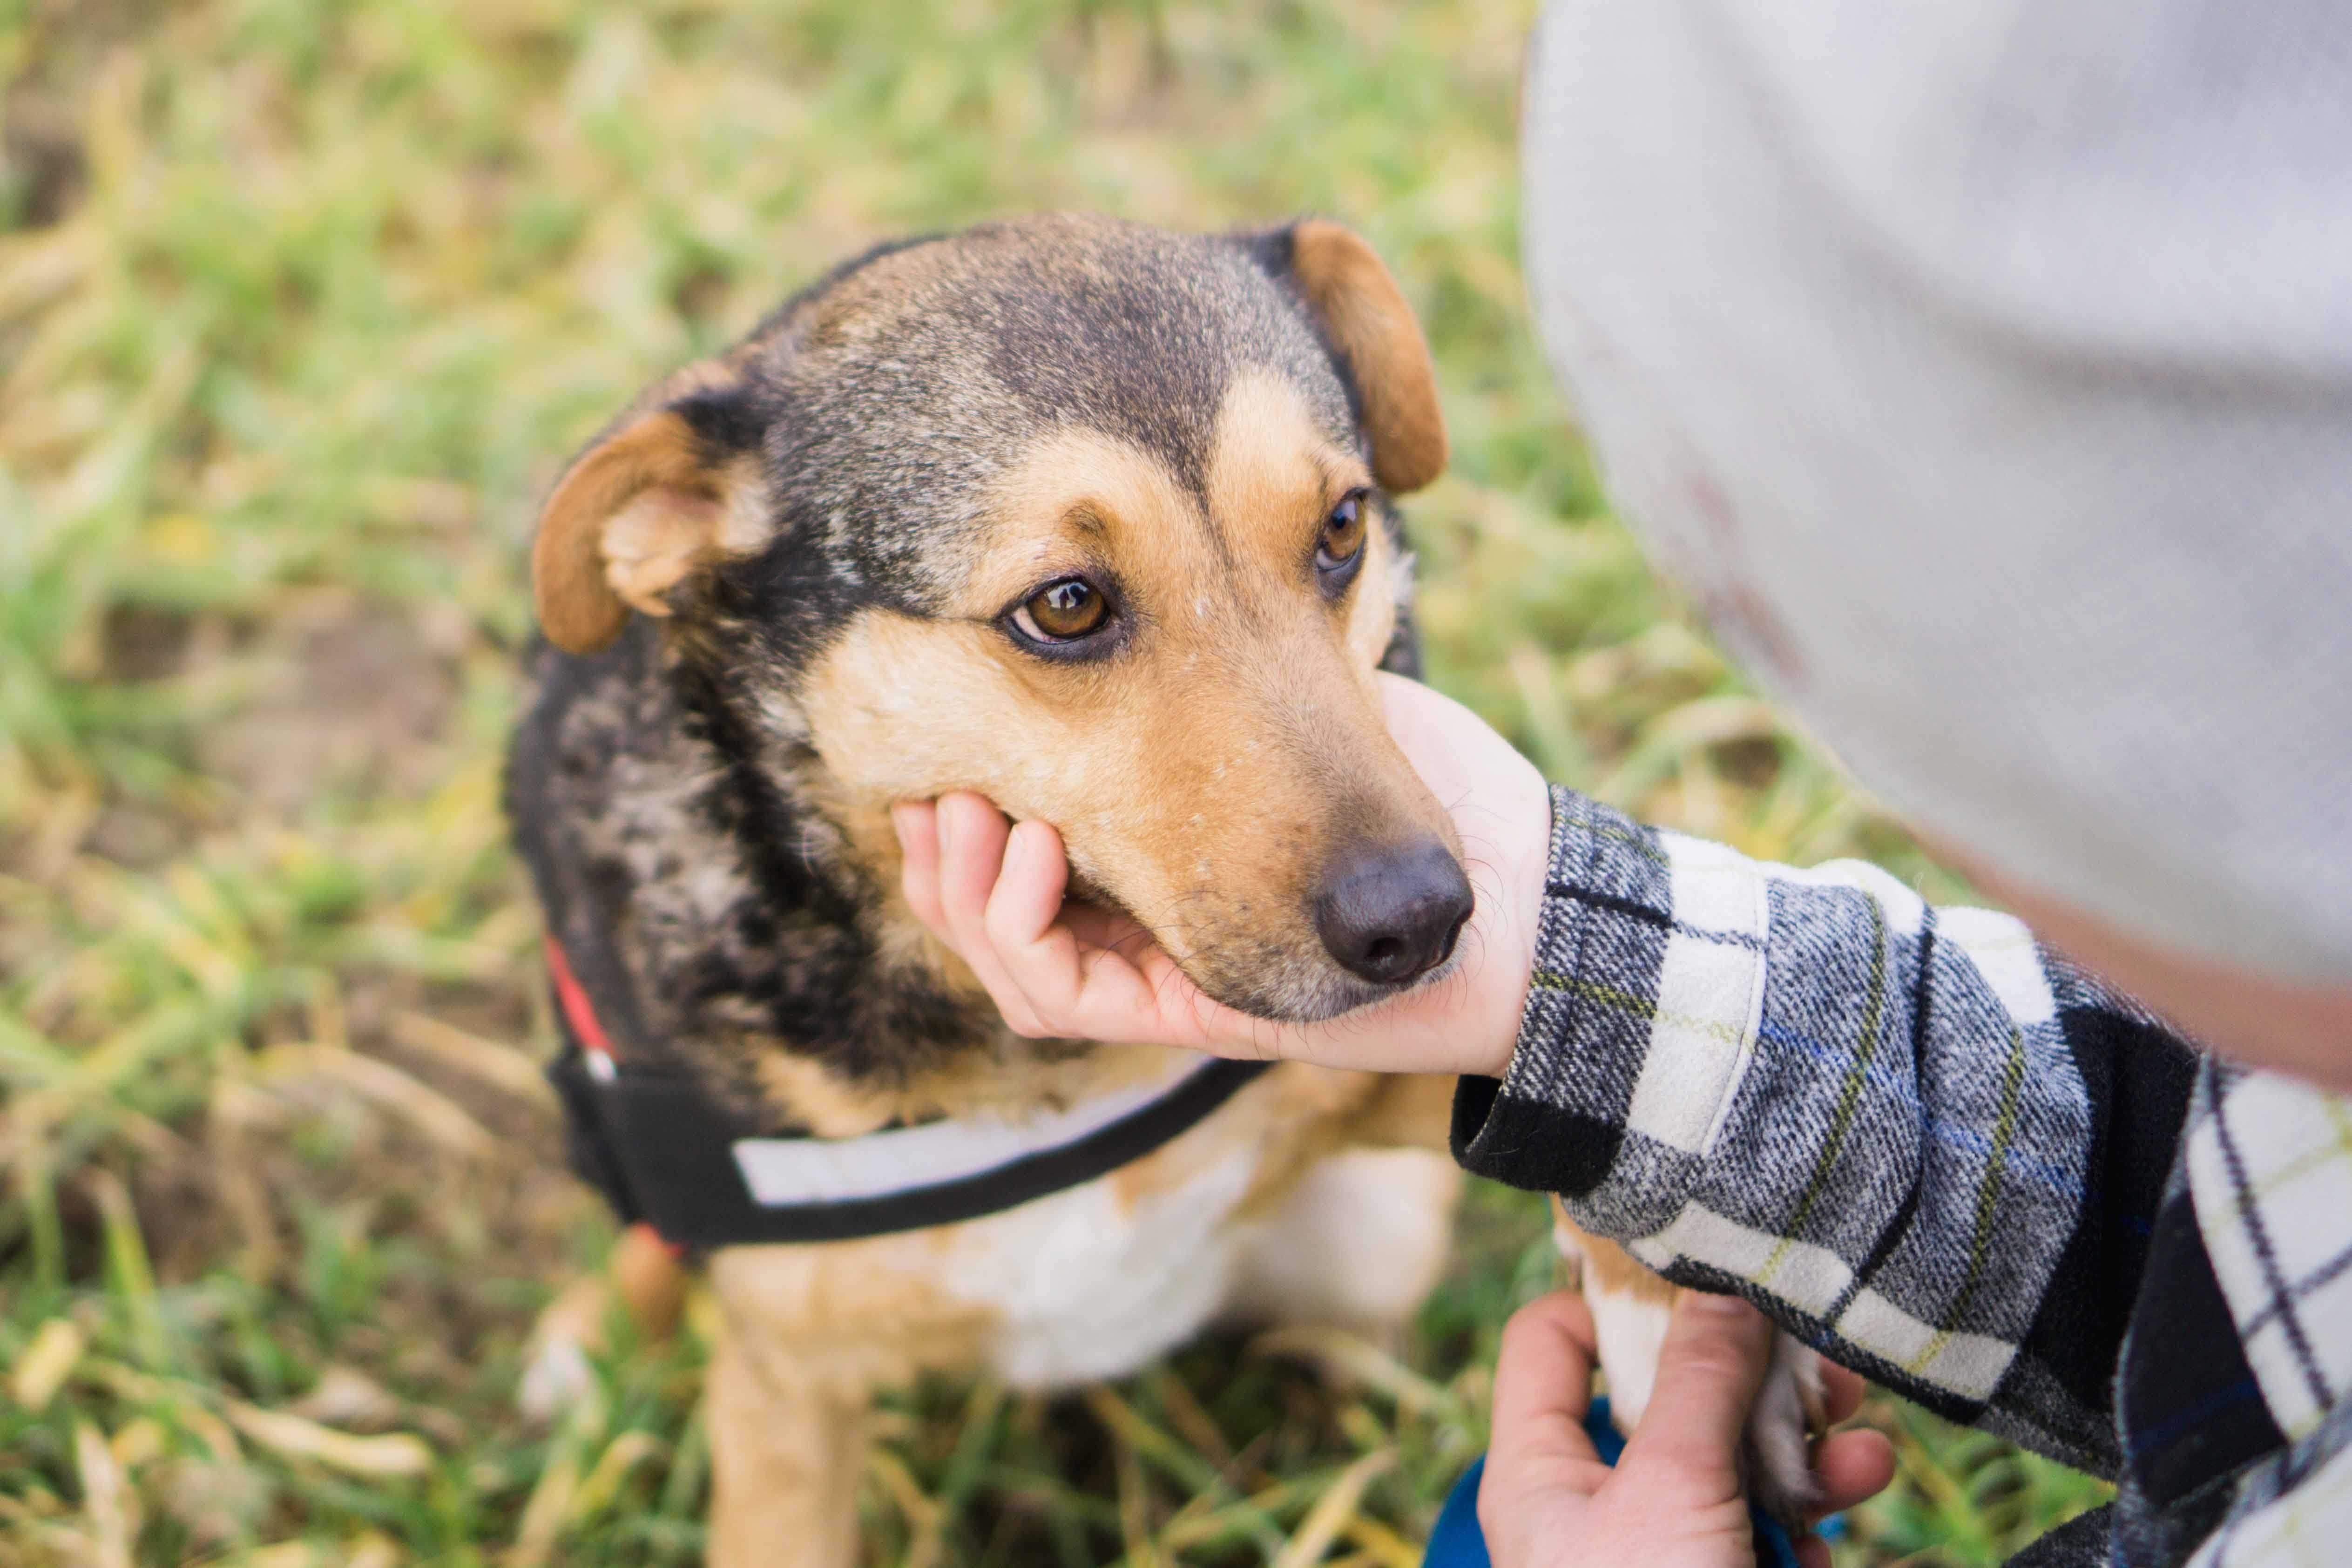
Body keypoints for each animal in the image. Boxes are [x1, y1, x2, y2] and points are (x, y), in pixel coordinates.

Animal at [506, 215, 1825, 1561]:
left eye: (1340, 527)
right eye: (1064, 605)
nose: (1425, 923)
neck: (1043, 1070)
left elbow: (1613, 1144)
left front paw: (1684, 1358)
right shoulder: (786, 1408)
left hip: (1376, 1240)